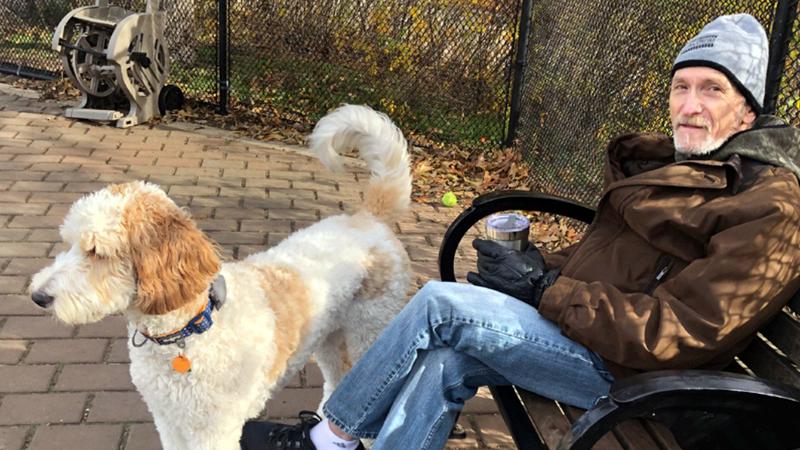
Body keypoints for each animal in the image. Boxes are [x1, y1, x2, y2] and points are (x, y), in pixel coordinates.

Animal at [29, 104, 412, 450]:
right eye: (68, 243)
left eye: (97, 252)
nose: (38, 297)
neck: (188, 329)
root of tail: (369, 217)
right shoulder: (168, 420)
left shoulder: (213, 430)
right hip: (331, 338)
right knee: (339, 385)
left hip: (370, 334)